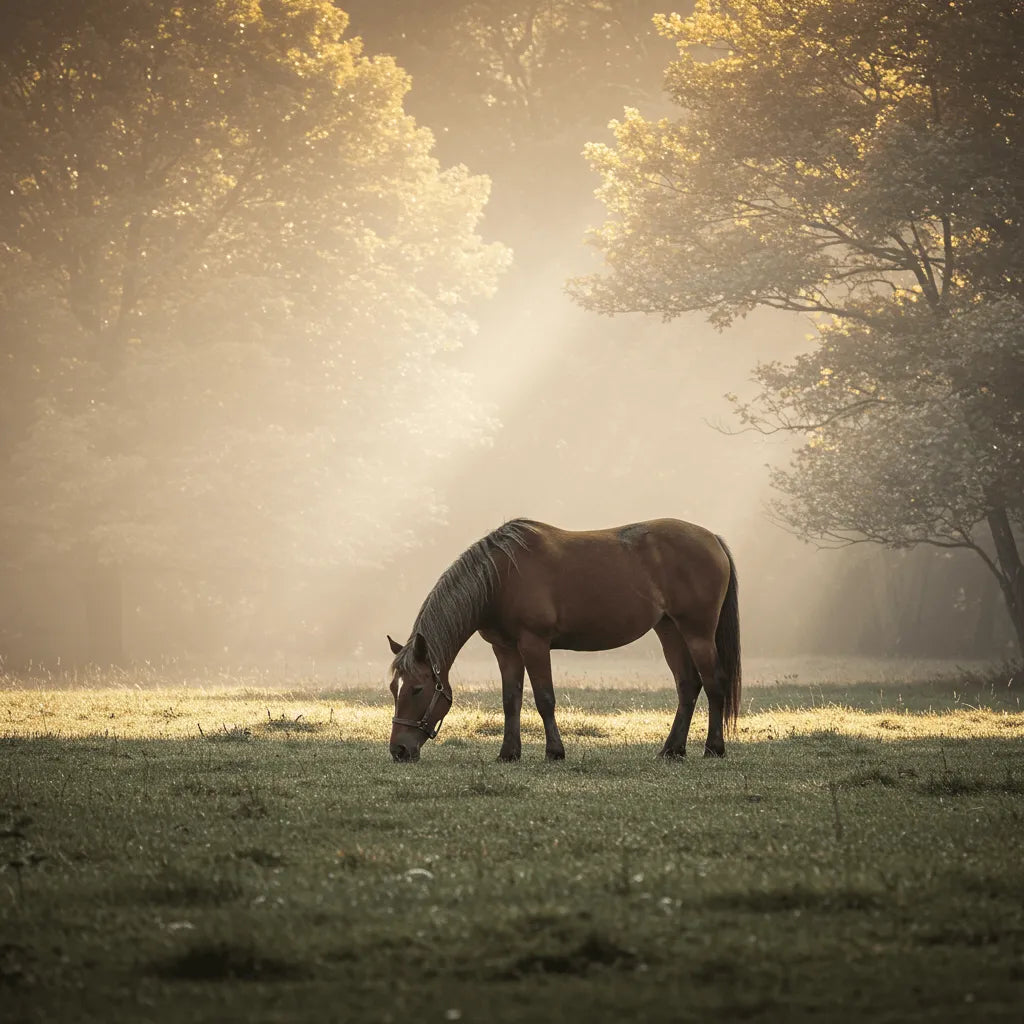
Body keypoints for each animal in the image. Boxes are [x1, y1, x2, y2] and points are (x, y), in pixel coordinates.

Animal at [387, 518, 740, 763]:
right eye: (394, 688)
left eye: (417, 689)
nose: (399, 749)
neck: (501, 578)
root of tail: (713, 539)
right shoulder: (505, 649)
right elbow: (510, 700)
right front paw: (508, 753)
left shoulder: (534, 644)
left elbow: (545, 699)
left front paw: (554, 752)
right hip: (670, 631)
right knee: (687, 686)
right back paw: (672, 749)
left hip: (697, 633)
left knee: (714, 684)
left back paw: (714, 748)